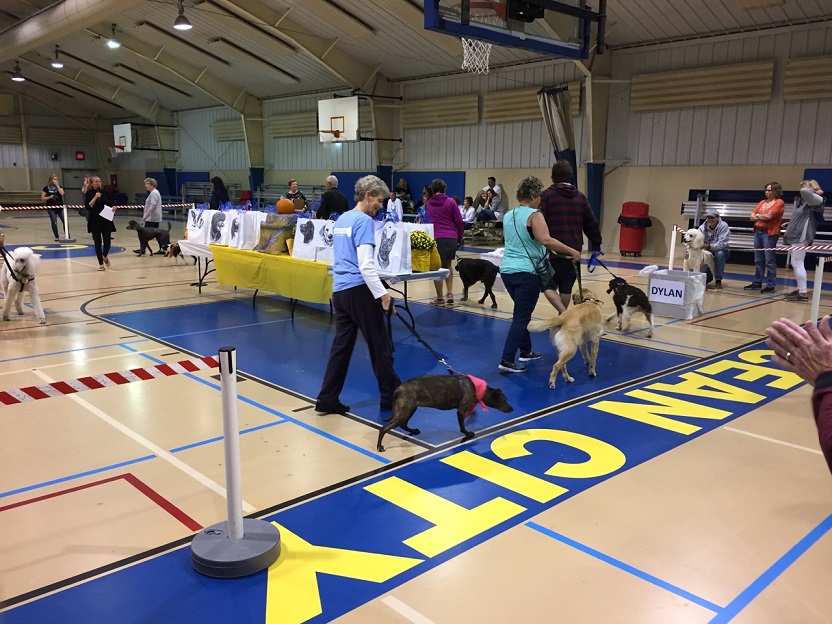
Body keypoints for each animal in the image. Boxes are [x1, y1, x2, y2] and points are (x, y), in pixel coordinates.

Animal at [376, 372, 512, 450]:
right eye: (504, 400)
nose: (512, 409)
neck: (477, 388)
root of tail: (398, 389)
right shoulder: (461, 411)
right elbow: (462, 427)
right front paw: (468, 434)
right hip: (404, 411)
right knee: (384, 428)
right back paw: (379, 446)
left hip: (410, 409)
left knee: (403, 425)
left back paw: (413, 430)